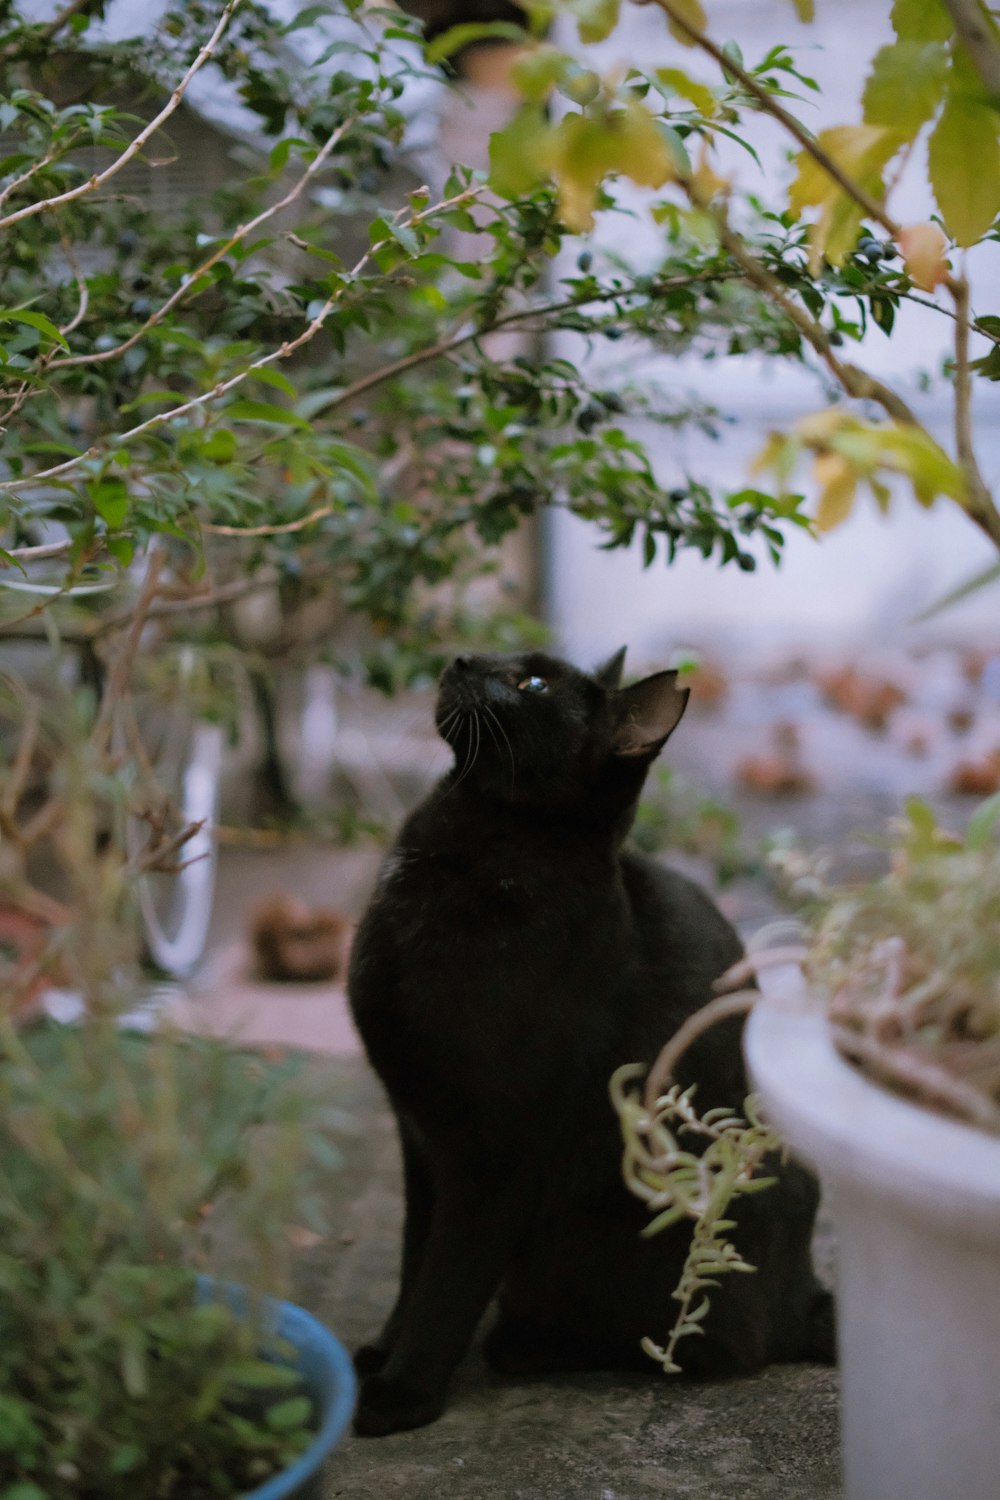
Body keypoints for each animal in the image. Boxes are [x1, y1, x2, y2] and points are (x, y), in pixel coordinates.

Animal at [347, 651, 833, 1434]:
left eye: (533, 685)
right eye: (502, 665)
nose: (462, 658)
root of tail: (809, 1295)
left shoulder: (495, 1157)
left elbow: (447, 1282)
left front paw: (403, 1392)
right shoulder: (418, 1137)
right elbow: (412, 1260)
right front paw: (384, 1350)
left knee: (702, 1346)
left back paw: (523, 1345)